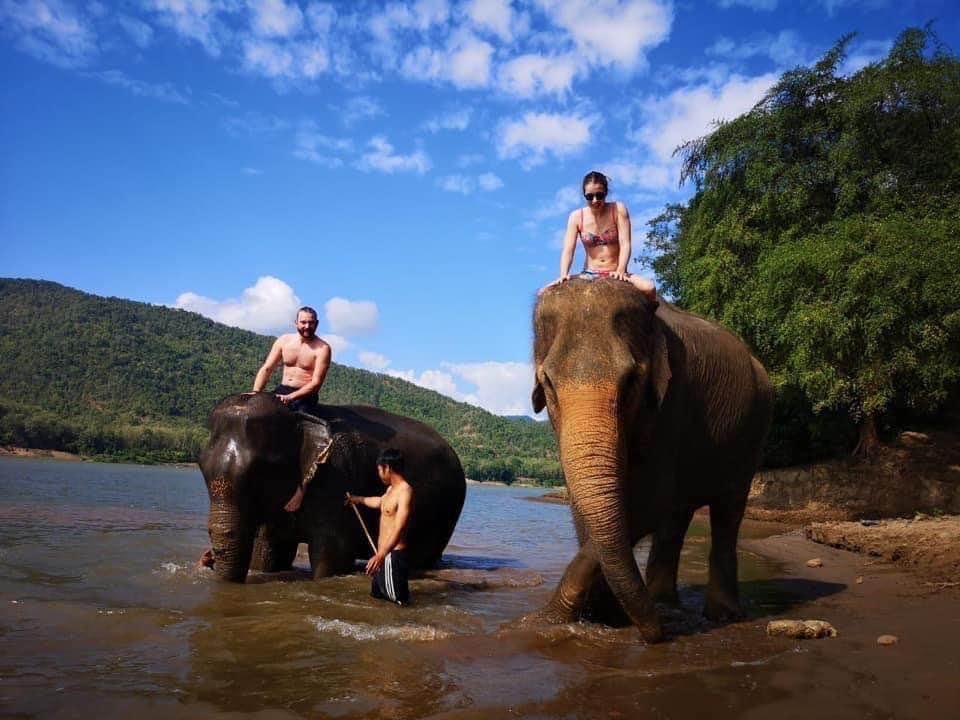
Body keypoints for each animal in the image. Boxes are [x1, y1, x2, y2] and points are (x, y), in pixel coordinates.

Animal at [199, 392, 466, 583]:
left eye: (262, 469)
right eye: (201, 466)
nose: (208, 558)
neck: (300, 419)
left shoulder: (335, 477)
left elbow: (331, 557)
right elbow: (266, 553)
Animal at [530, 279, 773, 642]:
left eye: (632, 381)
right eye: (547, 382)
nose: (657, 634)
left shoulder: (673, 402)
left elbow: (648, 502)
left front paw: (543, 622)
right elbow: (584, 504)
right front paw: (603, 617)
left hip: (751, 437)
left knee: (727, 512)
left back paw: (721, 615)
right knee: (677, 515)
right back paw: (663, 604)